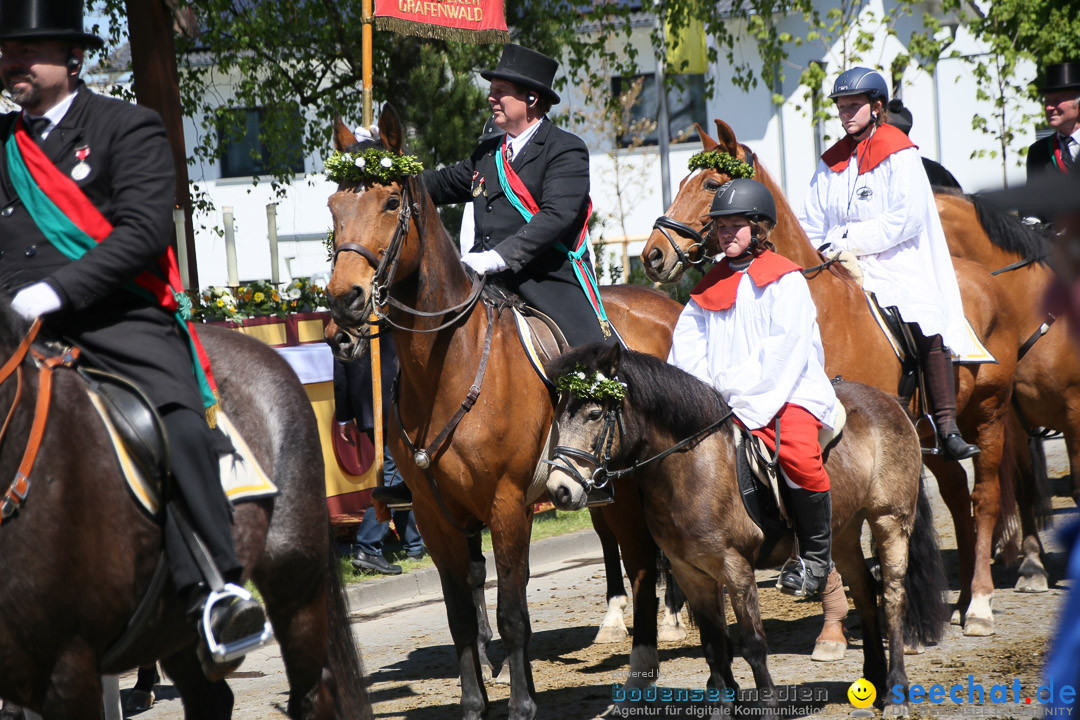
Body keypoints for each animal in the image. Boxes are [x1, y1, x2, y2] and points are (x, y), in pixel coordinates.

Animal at [319, 106, 682, 720]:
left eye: (391, 202)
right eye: (333, 206)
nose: (344, 303)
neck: (450, 364)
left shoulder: (508, 503)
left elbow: (512, 612)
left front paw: (523, 704)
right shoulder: (437, 514)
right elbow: (462, 617)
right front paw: (474, 704)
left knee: (644, 559)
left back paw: (654, 654)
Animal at [639, 120, 1019, 639]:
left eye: (713, 185)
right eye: (680, 183)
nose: (653, 256)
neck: (824, 309)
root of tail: (989, 279)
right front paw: (842, 620)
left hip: (987, 417)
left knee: (985, 497)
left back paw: (978, 602)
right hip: (925, 435)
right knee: (958, 497)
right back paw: (958, 601)